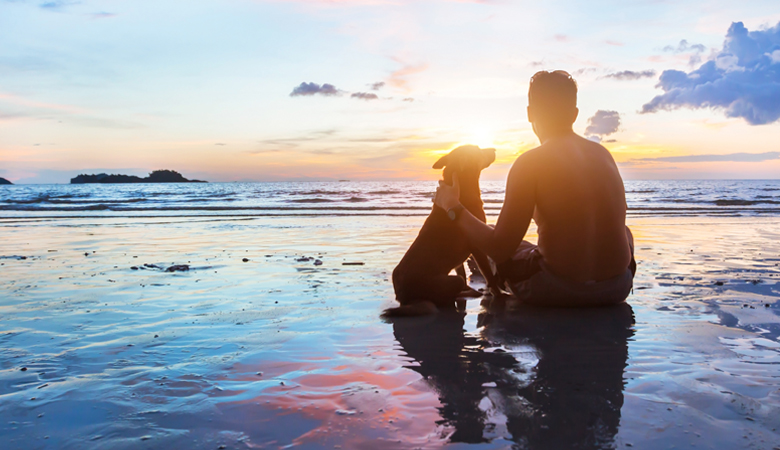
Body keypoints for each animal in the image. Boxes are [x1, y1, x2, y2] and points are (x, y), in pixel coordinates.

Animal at [384, 144, 500, 316]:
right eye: (478, 150)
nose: (494, 149)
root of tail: (405, 299)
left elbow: (462, 270)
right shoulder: (477, 246)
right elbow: (488, 274)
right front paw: (498, 293)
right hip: (446, 283)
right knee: (450, 295)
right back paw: (469, 292)